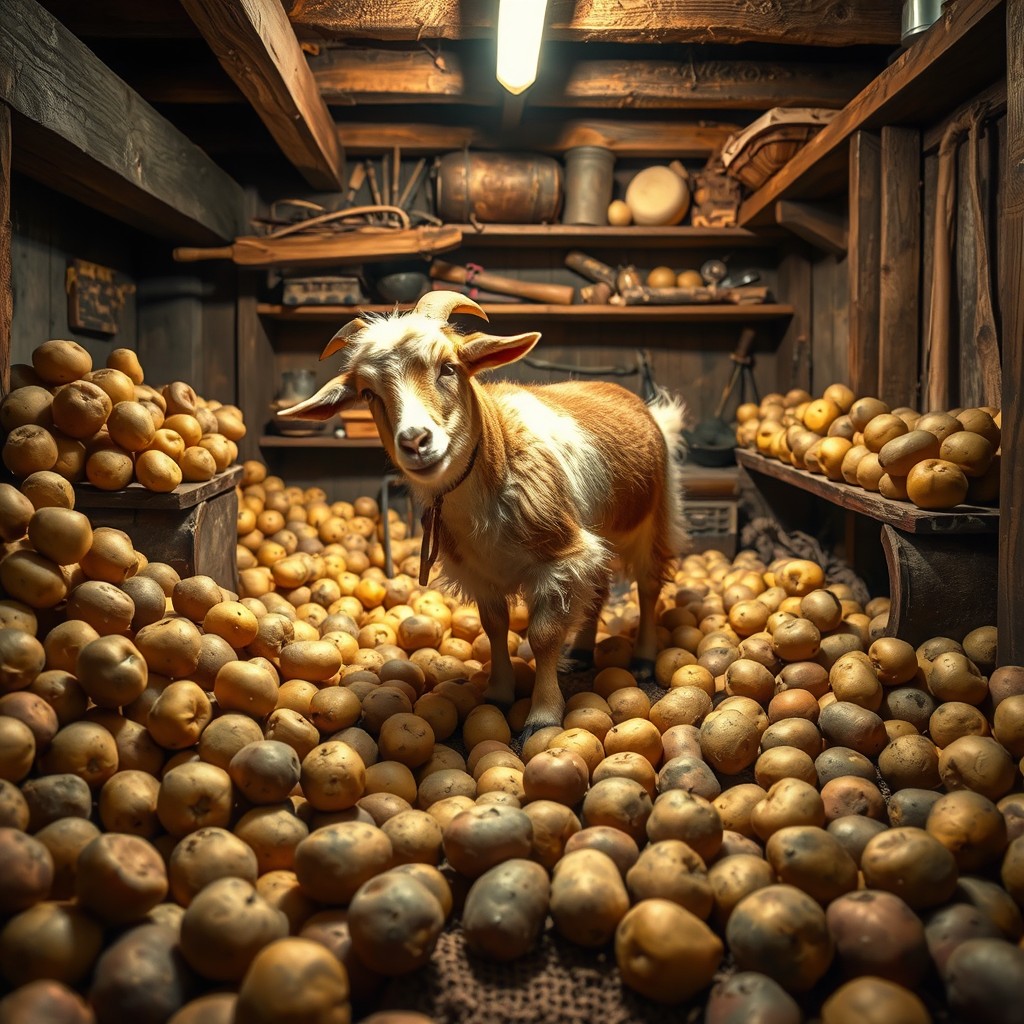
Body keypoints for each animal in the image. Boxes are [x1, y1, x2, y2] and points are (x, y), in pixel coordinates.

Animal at [277, 290, 688, 738]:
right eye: (368, 393)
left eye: (448, 367)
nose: (415, 441)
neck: (500, 452)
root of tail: (643, 406)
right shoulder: (480, 571)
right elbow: (495, 627)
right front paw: (499, 692)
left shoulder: (560, 555)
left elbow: (543, 636)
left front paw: (543, 713)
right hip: (598, 536)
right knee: (598, 587)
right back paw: (581, 651)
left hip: (654, 516)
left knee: (648, 584)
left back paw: (644, 657)